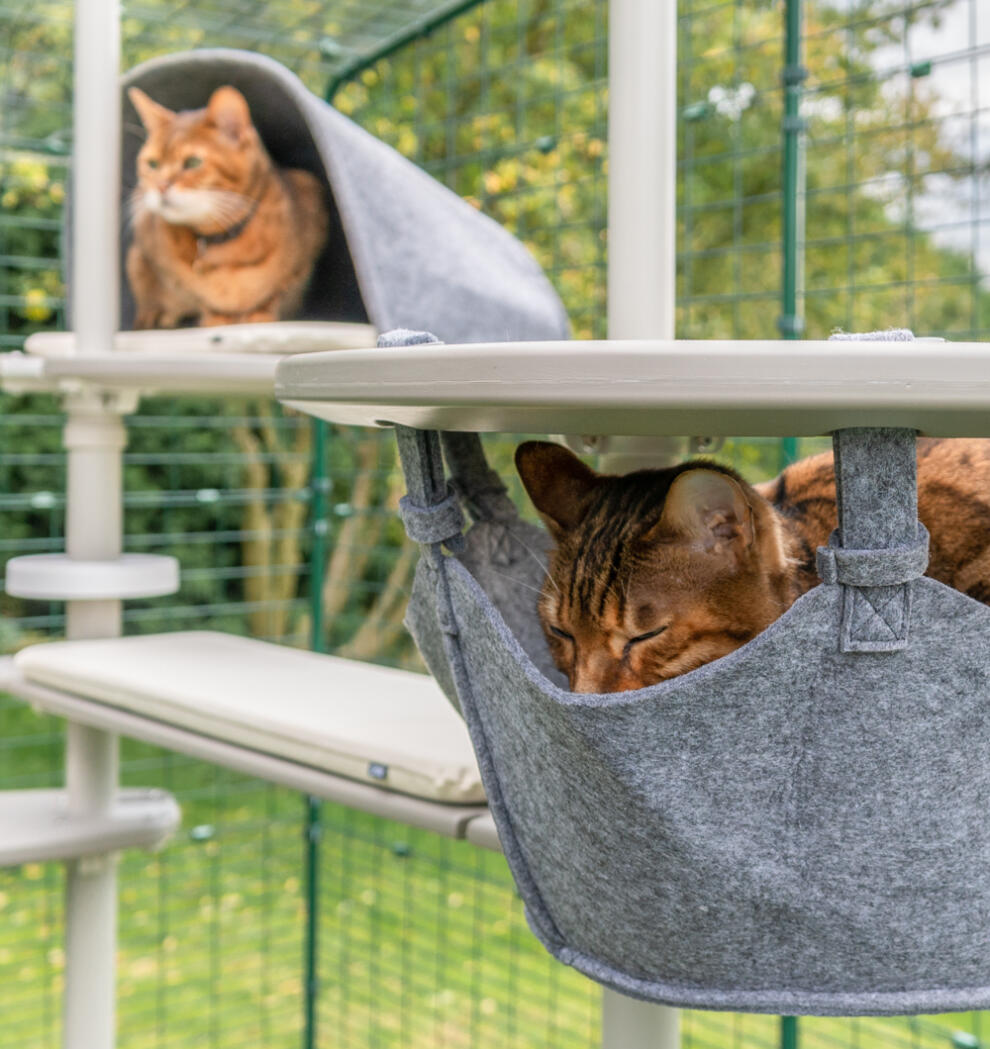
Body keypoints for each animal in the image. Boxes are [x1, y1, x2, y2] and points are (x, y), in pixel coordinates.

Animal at [125, 88, 329, 329]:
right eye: (153, 164)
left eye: (193, 162)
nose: (160, 186)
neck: (223, 244)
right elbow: (197, 295)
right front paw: (216, 319)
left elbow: (277, 292)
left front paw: (260, 315)